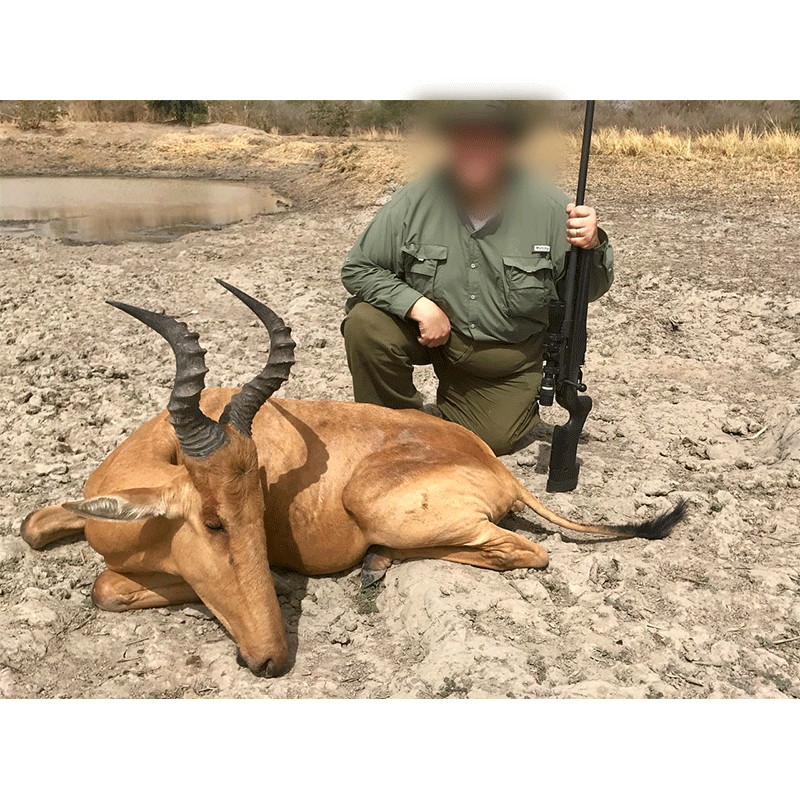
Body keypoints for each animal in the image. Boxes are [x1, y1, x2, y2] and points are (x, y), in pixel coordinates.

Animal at [23, 282, 688, 676]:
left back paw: (377, 562)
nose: (270, 660)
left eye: (257, 510)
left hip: (381, 506)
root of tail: (494, 463)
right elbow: (35, 525)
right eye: (213, 521)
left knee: (527, 552)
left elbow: (106, 587)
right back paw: (377, 564)